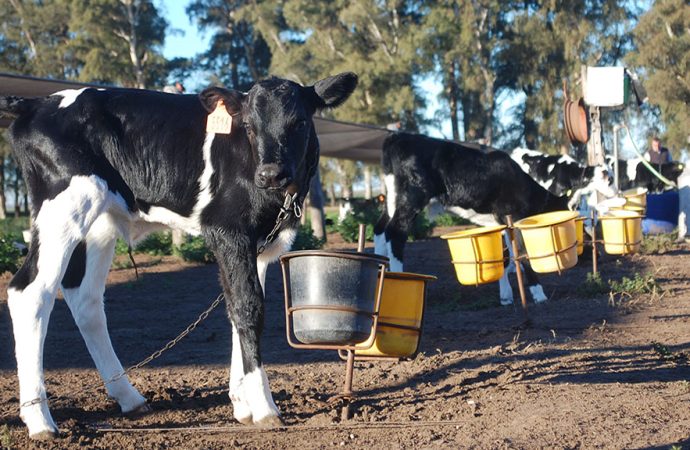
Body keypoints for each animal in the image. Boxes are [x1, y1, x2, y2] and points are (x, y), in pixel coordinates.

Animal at [0, 72, 358, 439]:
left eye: (300, 122)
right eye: (249, 125)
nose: (270, 174)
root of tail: (36, 102)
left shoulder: (258, 245)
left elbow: (237, 307)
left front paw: (242, 404)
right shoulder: (228, 231)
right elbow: (248, 308)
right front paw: (263, 407)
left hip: (100, 222)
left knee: (84, 297)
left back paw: (129, 398)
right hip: (64, 204)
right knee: (30, 292)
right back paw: (40, 420)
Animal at [373, 132, 569, 306]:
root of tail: (398, 136)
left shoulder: (499, 222)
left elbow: (504, 257)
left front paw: (506, 296)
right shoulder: (513, 217)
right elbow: (521, 252)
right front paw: (539, 294)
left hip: (392, 199)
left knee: (380, 230)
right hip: (413, 197)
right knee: (395, 232)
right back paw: (400, 280)